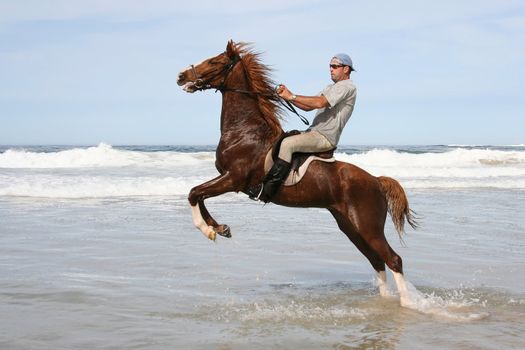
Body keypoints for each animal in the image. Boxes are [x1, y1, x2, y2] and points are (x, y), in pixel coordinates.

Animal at [176, 41, 418, 304]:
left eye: (214, 61)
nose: (181, 76)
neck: (245, 132)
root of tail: (375, 180)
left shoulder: (233, 179)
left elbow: (194, 193)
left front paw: (208, 230)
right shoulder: (228, 179)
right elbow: (199, 196)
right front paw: (220, 228)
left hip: (367, 226)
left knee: (393, 259)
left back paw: (406, 303)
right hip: (349, 226)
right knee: (376, 260)